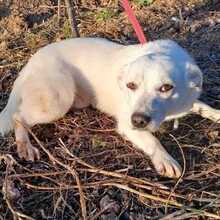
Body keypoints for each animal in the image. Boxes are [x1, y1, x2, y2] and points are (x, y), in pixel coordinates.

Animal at [0, 38, 220, 179]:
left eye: (166, 87)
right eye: (131, 85)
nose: (138, 120)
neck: (171, 110)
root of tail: (29, 64)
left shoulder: (187, 102)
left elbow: (202, 106)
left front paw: (216, 113)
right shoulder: (126, 126)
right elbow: (153, 140)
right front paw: (164, 159)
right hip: (58, 100)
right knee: (18, 116)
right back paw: (25, 146)